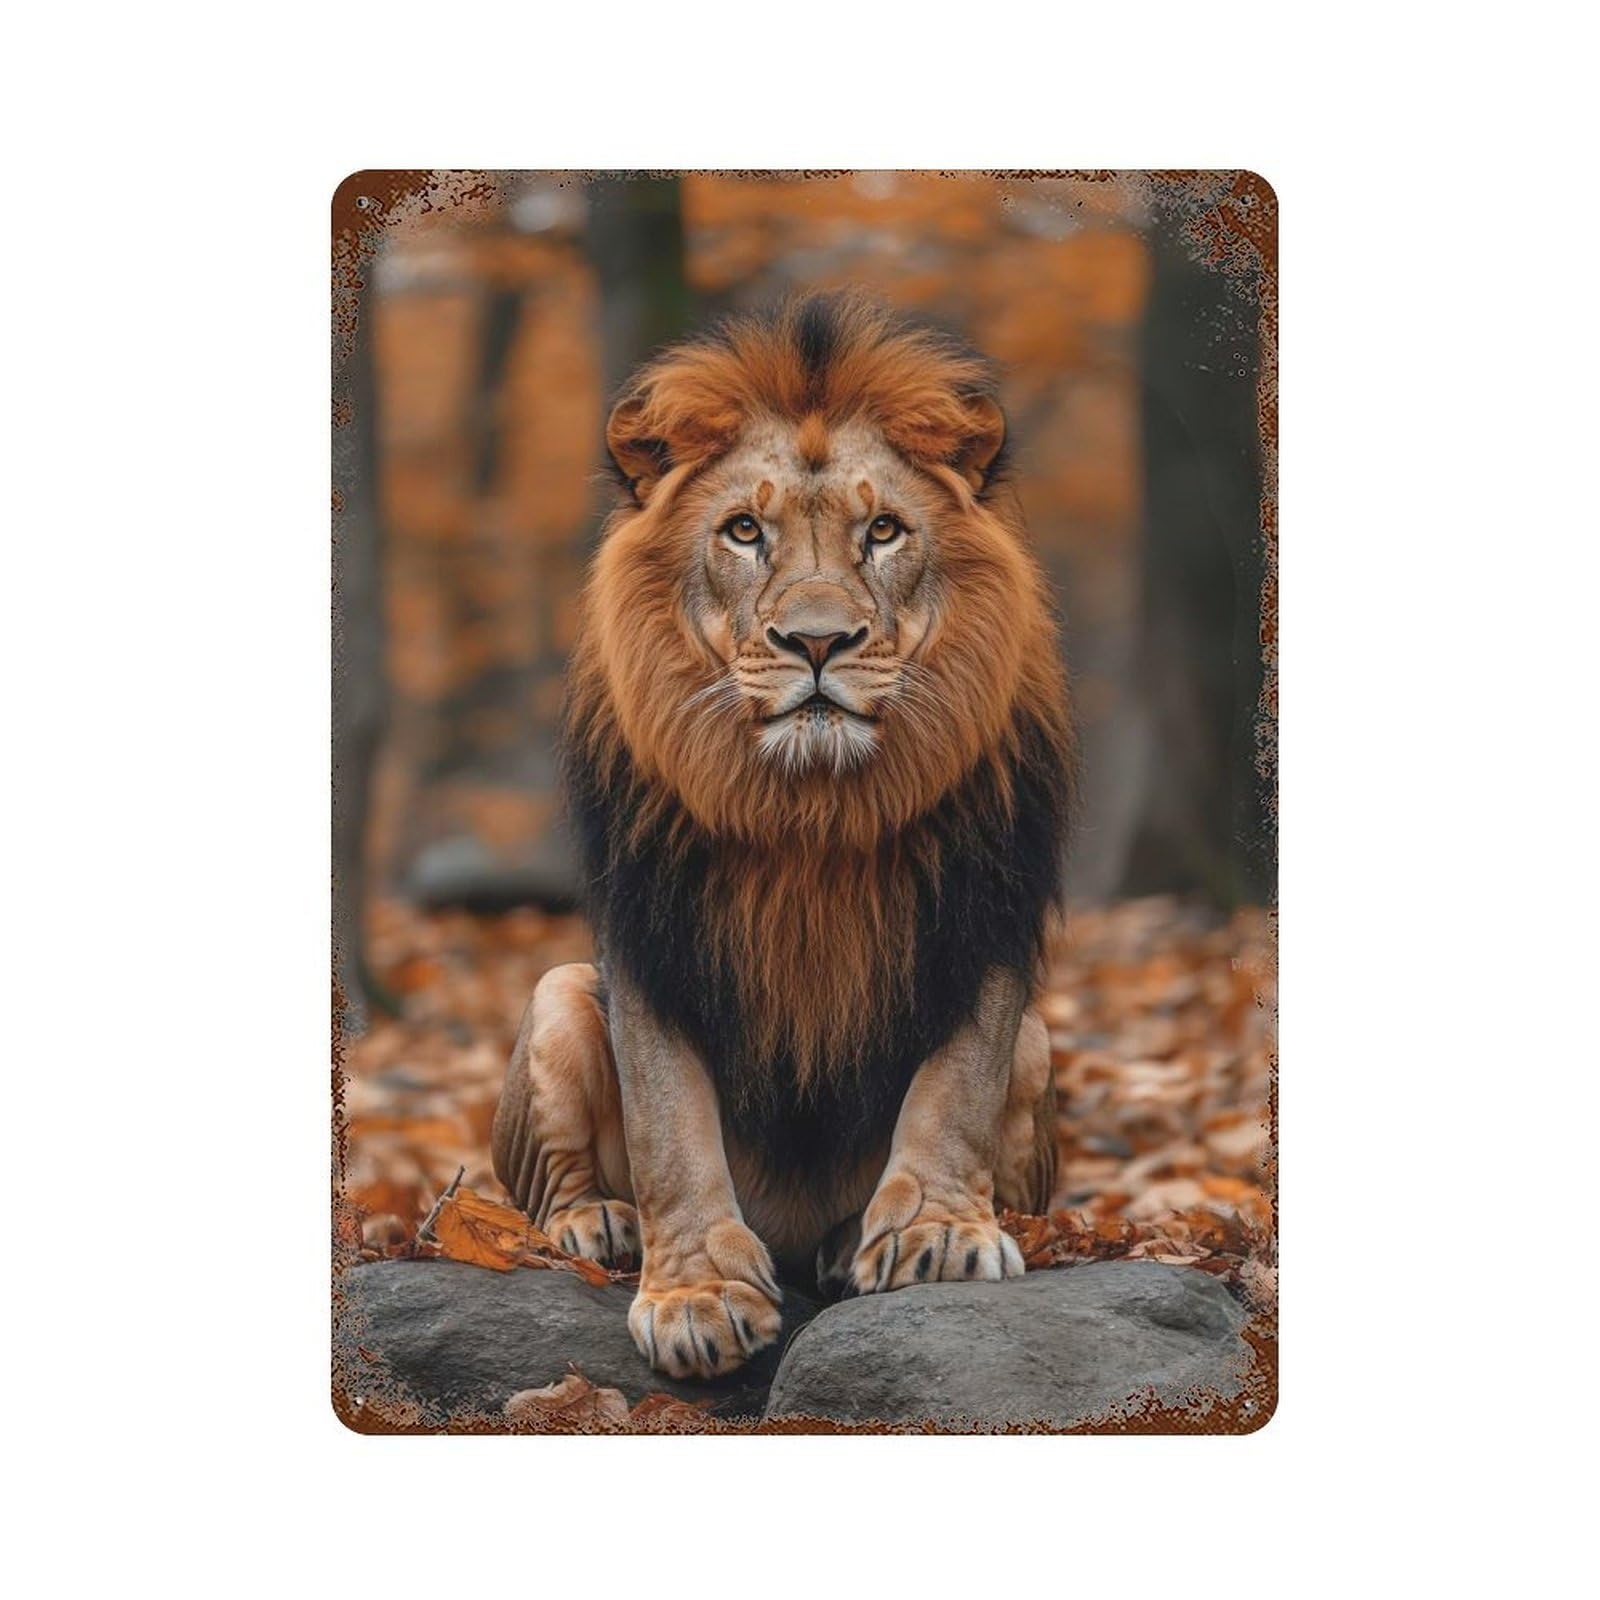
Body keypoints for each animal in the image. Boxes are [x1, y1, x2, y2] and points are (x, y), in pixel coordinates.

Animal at [491, 293, 1075, 1380]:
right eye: (743, 530)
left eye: (883, 530)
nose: (816, 641)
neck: (812, 810)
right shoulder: (652, 931)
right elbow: (671, 1126)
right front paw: (694, 1294)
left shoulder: (982, 914)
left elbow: (956, 1088)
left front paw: (933, 1234)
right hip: (556, 994)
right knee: (547, 1185)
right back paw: (599, 1221)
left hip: (1041, 1040)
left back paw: (853, 1243)